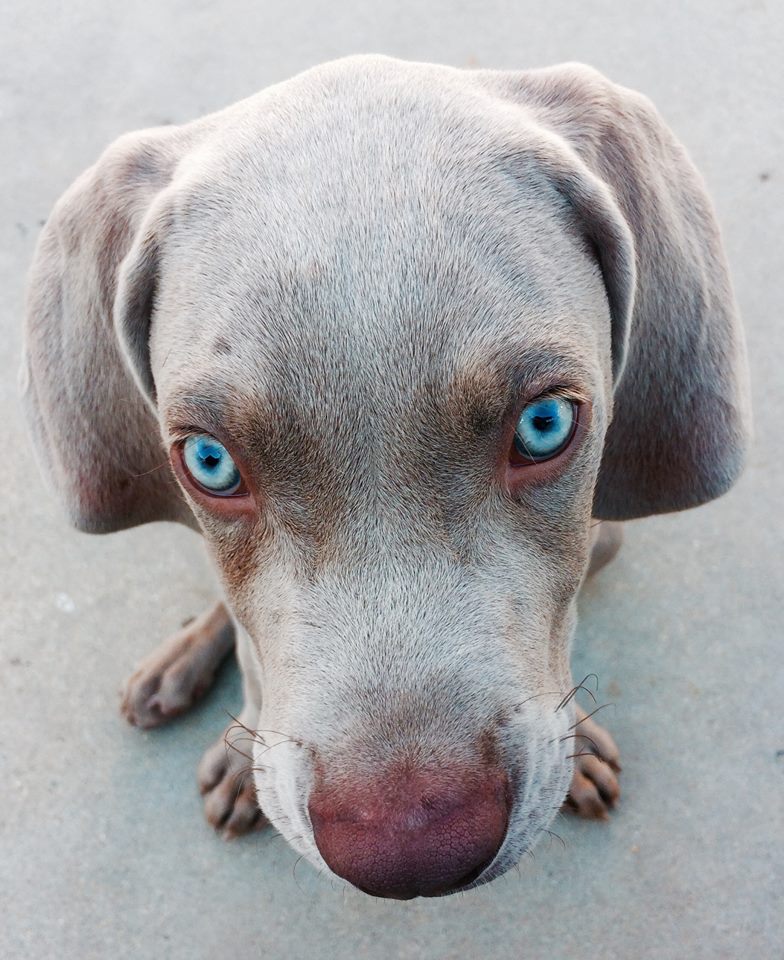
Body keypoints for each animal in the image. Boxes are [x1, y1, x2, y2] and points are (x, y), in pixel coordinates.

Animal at [21, 56, 752, 900]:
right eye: (210, 462)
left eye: (545, 425)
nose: (413, 854)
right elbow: (251, 654)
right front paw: (241, 744)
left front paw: (581, 745)